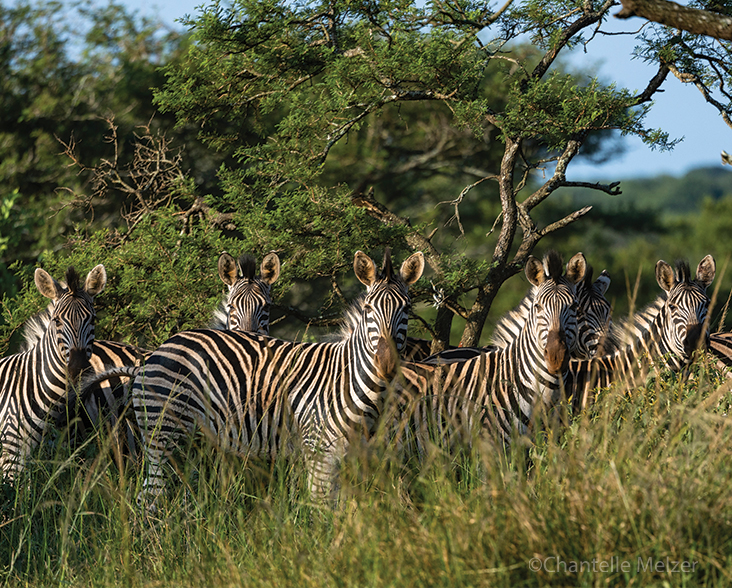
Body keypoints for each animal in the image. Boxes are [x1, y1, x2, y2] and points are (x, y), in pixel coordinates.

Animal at [129, 248, 420, 506]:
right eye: (369, 308)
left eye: (406, 309)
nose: (386, 363)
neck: (352, 382)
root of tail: (163, 346)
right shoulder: (319, 453)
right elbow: (320, 511)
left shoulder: (354, 457)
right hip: (163, 434)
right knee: (149, 499)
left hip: (191, 443)